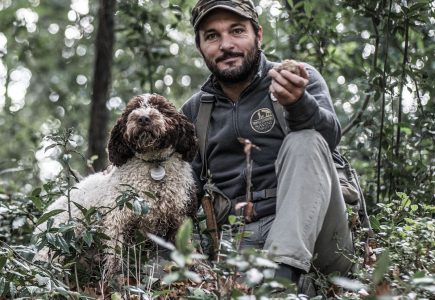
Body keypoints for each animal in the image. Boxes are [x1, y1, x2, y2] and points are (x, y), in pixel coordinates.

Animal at [34, 94, 198, 276]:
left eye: (159, 108)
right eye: (133, 110)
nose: (143, 118)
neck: (154, 164)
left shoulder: (179, 216)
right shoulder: (117, 220)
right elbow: (114, 259)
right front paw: (115, 278)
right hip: (54, 248)